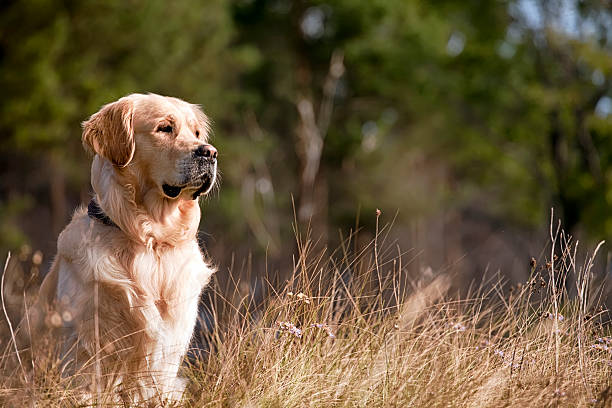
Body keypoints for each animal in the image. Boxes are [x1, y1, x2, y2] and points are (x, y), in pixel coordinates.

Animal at [18, 94, 218, 404]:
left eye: (196, 133)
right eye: (164, 128)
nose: (210, 153)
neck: (150, 239)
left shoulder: (172, 342)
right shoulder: (87, 344)